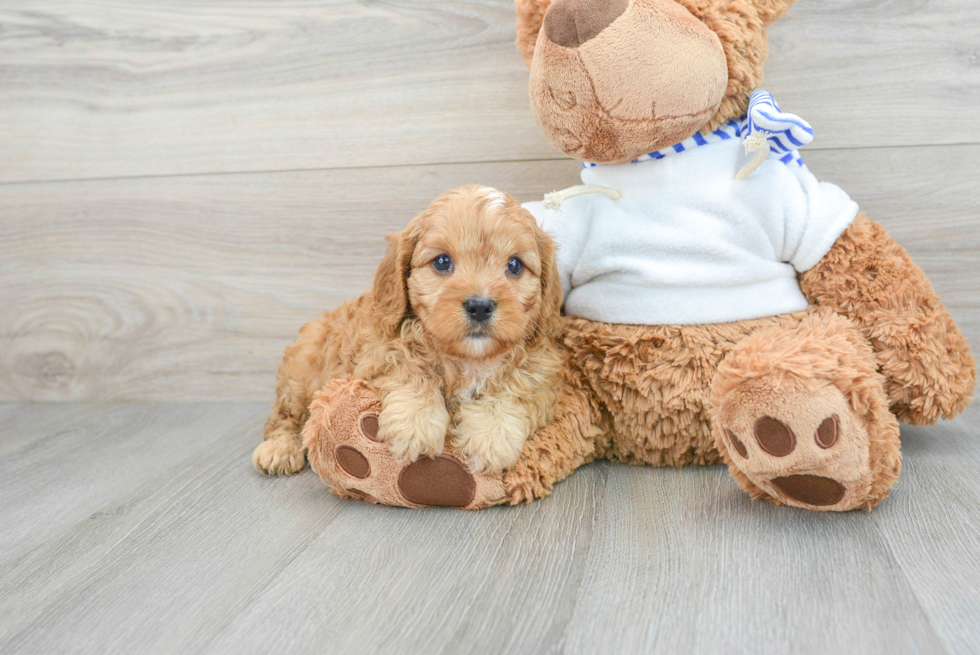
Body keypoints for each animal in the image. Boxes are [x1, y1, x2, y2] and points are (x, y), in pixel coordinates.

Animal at [255, 184, 568, 476]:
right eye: (442, 261)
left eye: (515, 265)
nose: (480, 306)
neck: (467, 359)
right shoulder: (376, 352)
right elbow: (407, 368)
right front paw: (416, 424)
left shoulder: (541, 370)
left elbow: (515, 386)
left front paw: (491, 436)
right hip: (300, 375)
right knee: (285, 415)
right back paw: (278, 450)